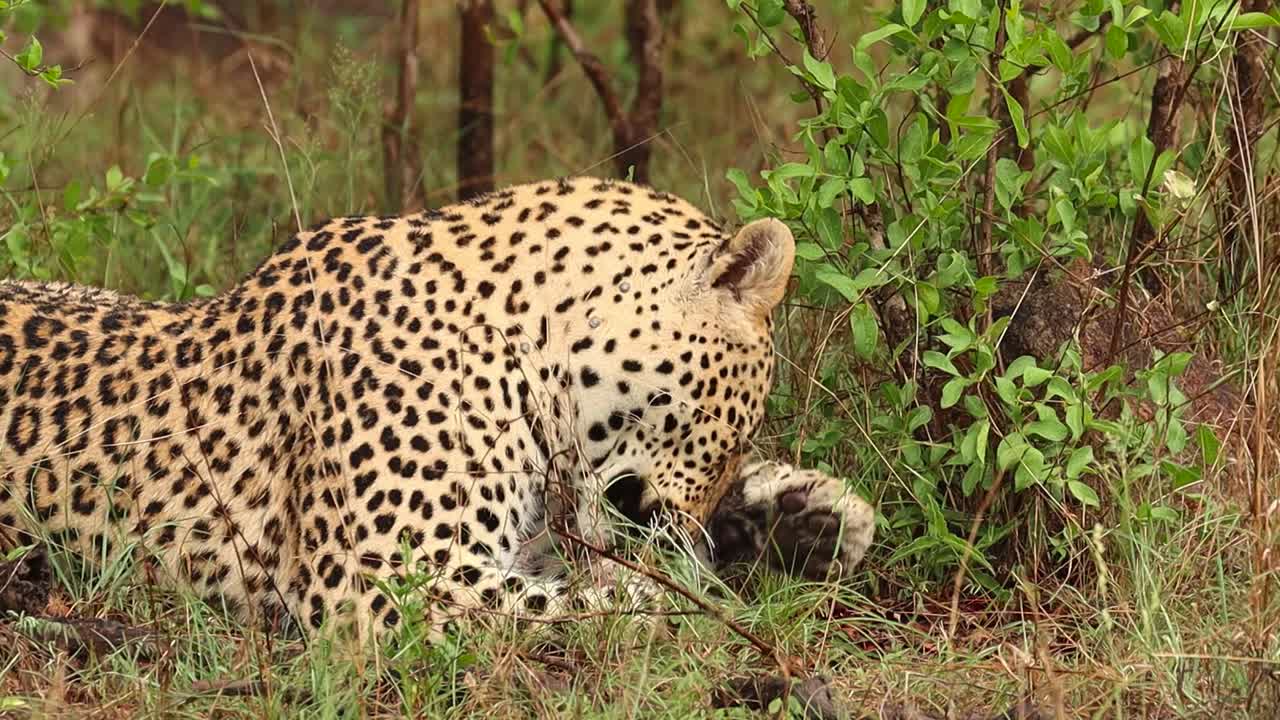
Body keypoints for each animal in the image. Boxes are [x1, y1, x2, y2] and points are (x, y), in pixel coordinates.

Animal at [0, 177, 874, 641]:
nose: (687, 525)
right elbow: (573, 603)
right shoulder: (378, 578)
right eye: (731, 424)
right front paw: (677, 600)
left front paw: (803, 518)